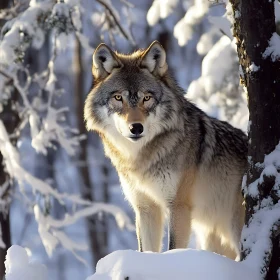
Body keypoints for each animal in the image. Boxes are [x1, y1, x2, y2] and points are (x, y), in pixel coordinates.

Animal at [83, 40, 247, 260]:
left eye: (146, 98)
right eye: (118, 97)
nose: (136, 128)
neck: (141, 158)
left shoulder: (178, 206)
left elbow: (173, 247)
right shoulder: (145, 208)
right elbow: (146, 250)